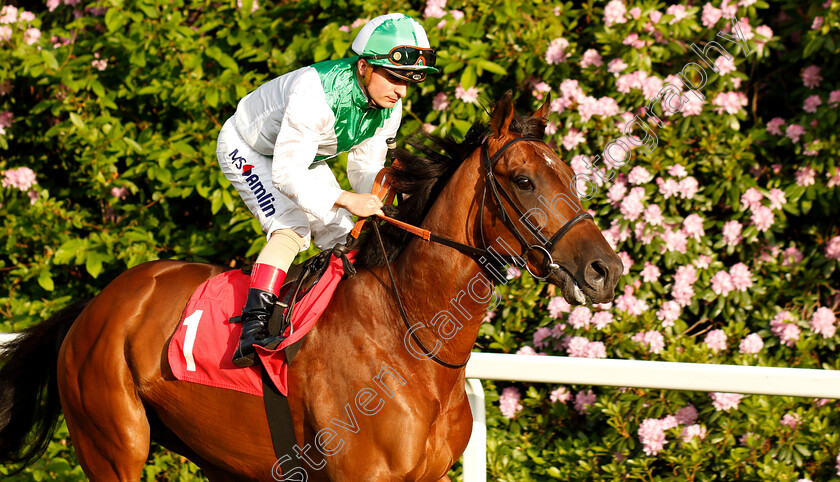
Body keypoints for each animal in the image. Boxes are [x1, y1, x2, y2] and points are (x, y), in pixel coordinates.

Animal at [0, 92, 616, 480]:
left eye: (571, 175)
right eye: (524, 180)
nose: (603, 269)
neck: (413, 345)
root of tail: (94, 306)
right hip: (114, 445)